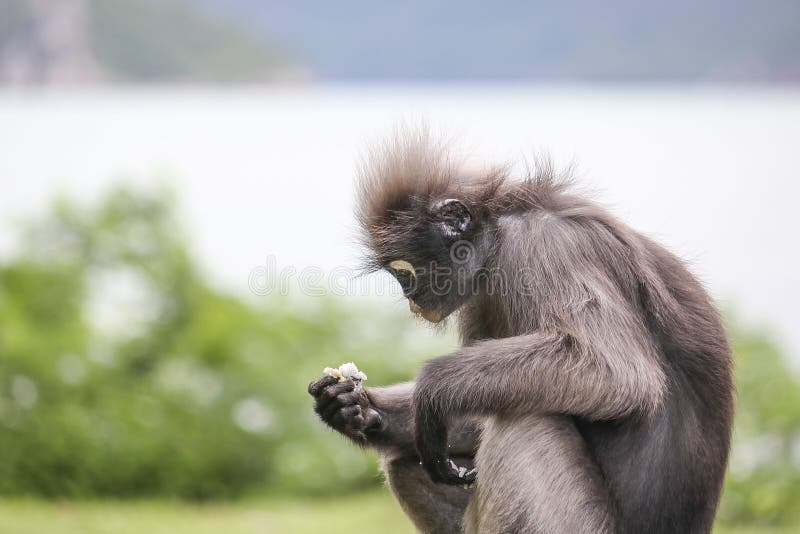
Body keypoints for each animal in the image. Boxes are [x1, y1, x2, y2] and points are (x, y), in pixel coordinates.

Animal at [308, 130, 732, 534]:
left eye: (403, 271)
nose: (410, 297)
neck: (500, 226)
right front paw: (356, 408)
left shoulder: (546, 243)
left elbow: (619, 374)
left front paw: (429, 389)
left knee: (524, 421)